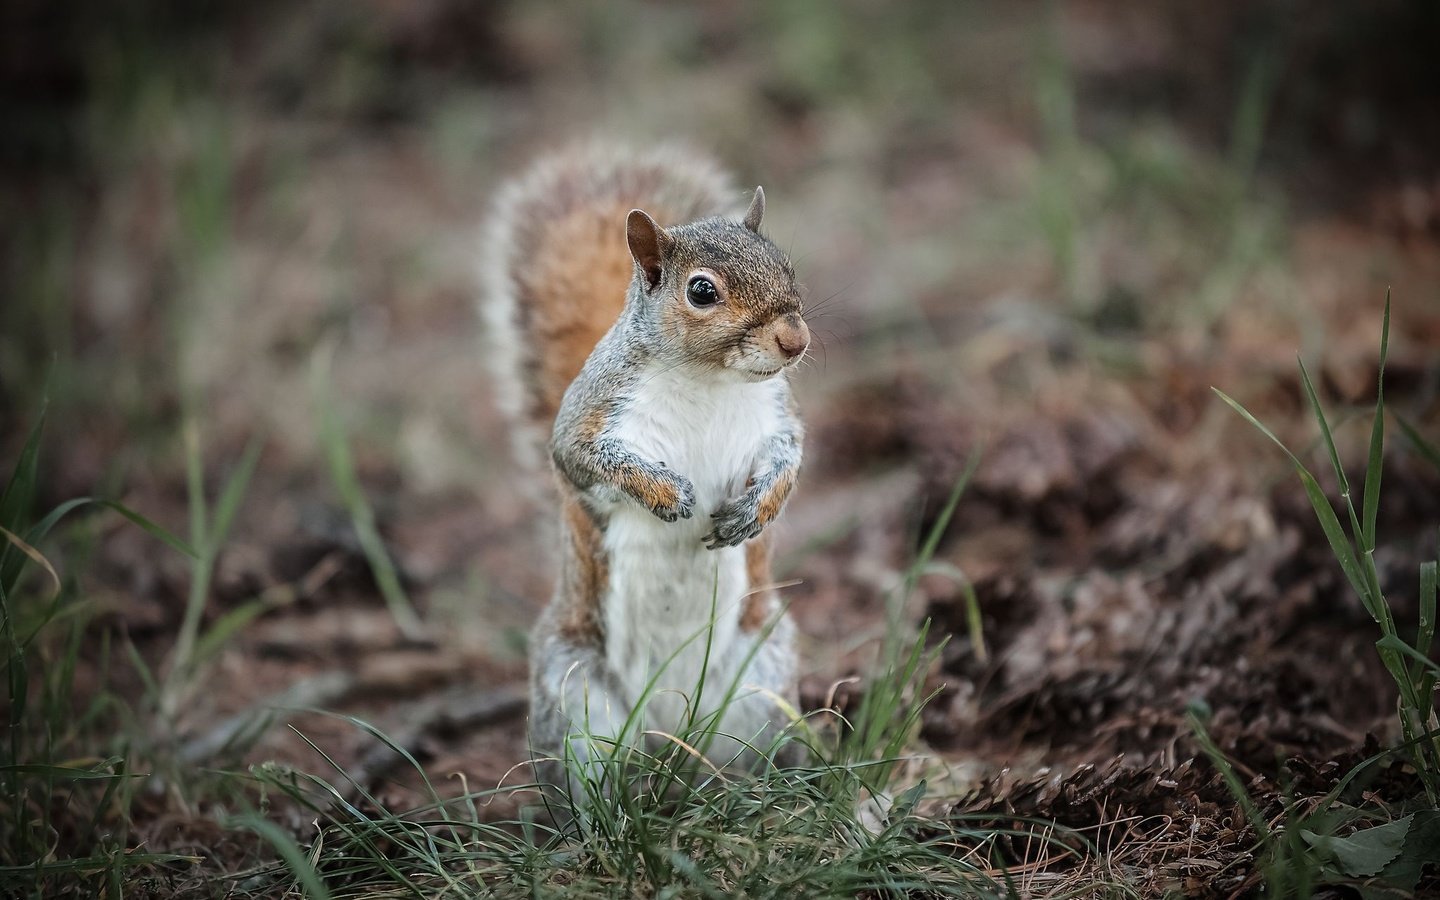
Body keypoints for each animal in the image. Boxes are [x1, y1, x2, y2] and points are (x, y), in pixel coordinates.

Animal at [480, 144, 812, 812]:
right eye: (702, 291)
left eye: (787, 265)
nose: (796, 340)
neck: (709, 379)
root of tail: (668, 727)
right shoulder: (588, 421)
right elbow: (585, 460)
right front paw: (664, 493)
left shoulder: (777, 420)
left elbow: (788, 464)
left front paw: (752, 513)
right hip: (575, 695)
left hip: (761, 680)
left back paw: (753, 796)